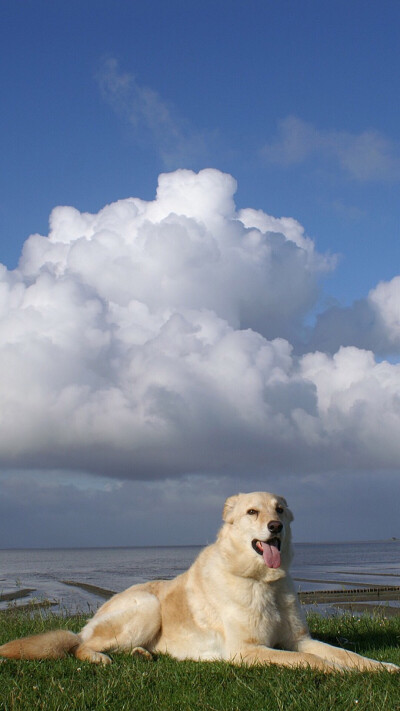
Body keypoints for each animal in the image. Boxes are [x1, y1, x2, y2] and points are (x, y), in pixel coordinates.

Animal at [0, 496, 398, 672]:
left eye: (280, 509)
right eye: (253, 512)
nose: (276, 527)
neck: (261, 582)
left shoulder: (300, 640)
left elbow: (345, 654)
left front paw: (381, 667)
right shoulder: (247, 651)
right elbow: (312, 662)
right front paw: (341, 672)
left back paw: (143, 654)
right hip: (147, 608)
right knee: (80, 647)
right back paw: (99, 656)